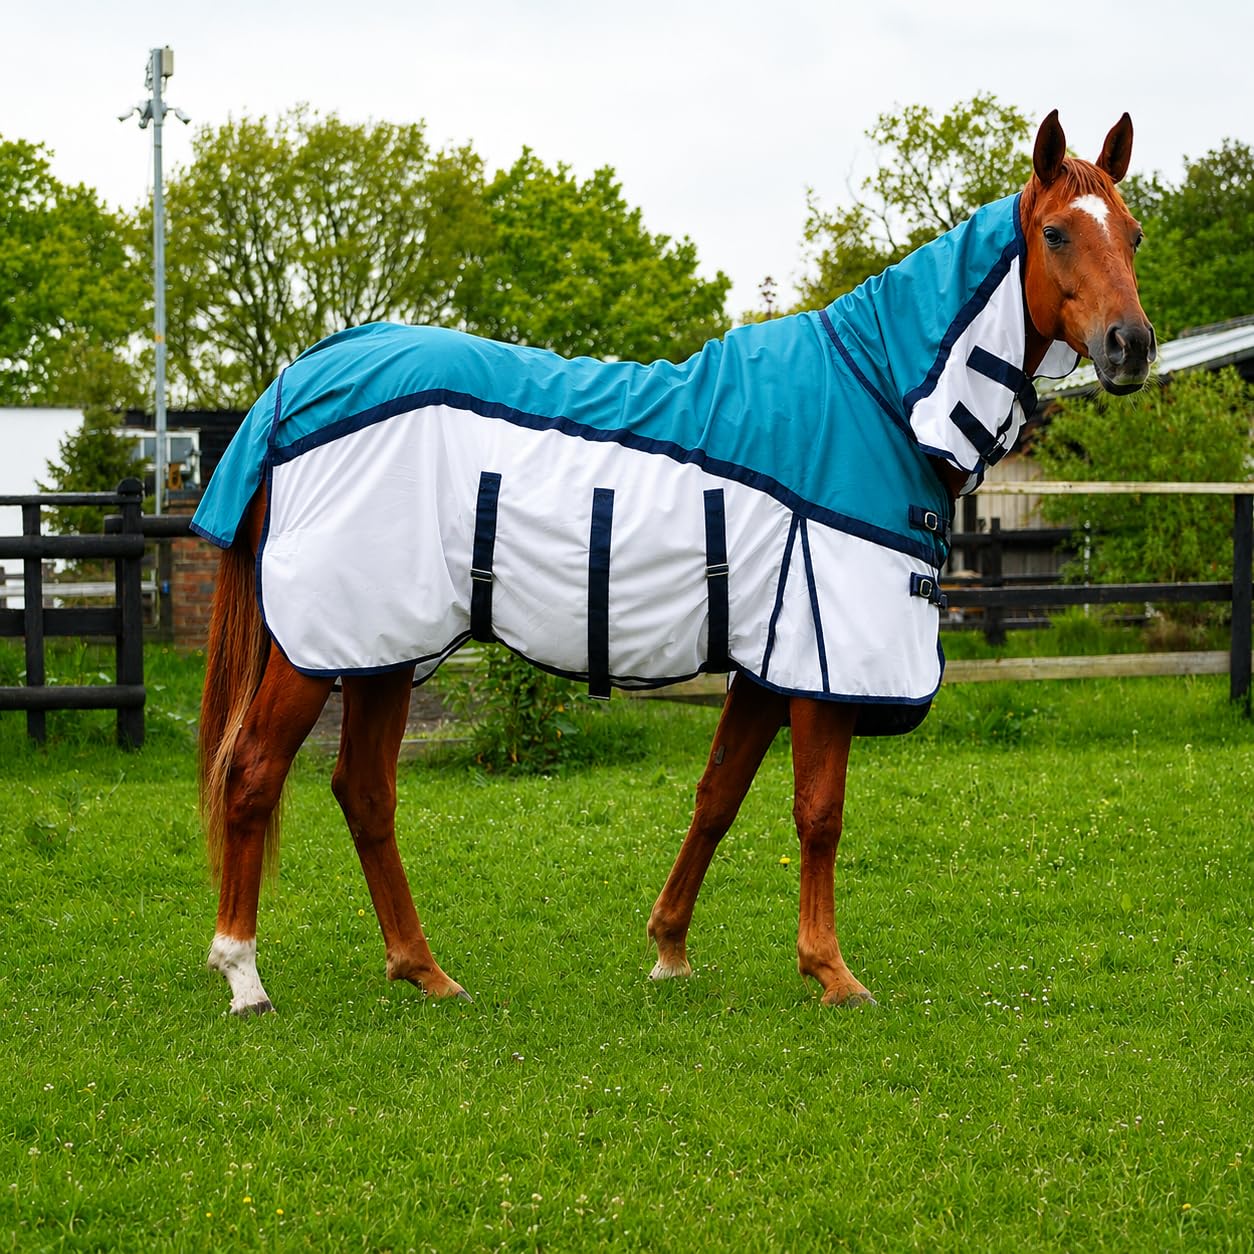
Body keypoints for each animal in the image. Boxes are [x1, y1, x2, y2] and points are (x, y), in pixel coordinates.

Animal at [196, 111, 1154, 1015]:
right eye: (1058, 232)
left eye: (1135, 233)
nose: (1131, 346)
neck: (878, 397)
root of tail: (297, 382)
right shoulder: (819, 664)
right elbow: (819, 815)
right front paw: (831, 972)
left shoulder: (767, 664)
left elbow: (718, 797)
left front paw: (670, 949)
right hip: (319, 649)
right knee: (252, 776)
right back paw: (243, 976)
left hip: (385, 650)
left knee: (364, 792)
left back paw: (422, 970)